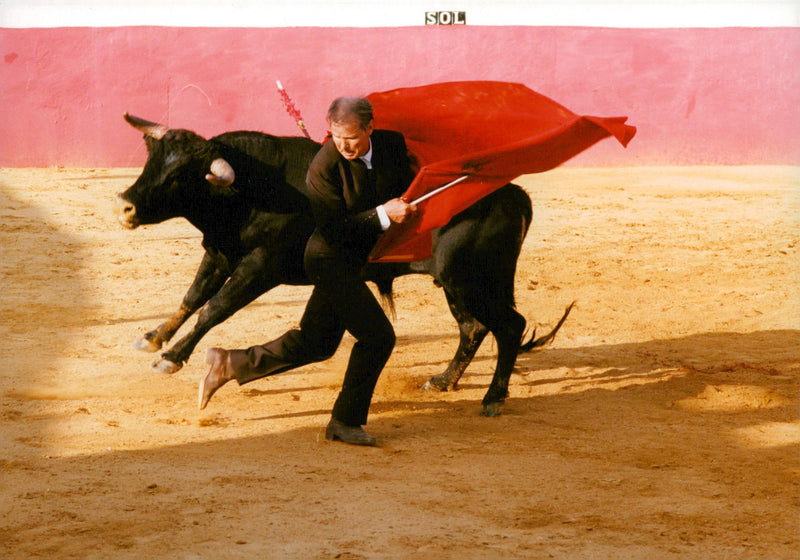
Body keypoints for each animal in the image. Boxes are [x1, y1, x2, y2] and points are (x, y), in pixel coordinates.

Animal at [115, 114, 572, 416]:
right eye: (151, 160)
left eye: (181, 175)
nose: (125, 205)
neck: (252, 187)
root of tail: (514, 194)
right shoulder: (219, 252)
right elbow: (193, 297)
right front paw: (153, 337)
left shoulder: (260, 266)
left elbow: (214, 308)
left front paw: (171, 357)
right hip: (457, 283)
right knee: (474, 328)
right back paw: (443, 381)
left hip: (469, 280)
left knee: (507, 326)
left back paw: (492, 398)